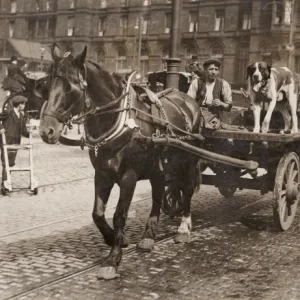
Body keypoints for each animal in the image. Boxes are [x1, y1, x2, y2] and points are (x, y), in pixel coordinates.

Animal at [37, 44, 202, 278]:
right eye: (47, 85)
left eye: (70, 87)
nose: (46, 131)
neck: (119, 121)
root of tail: (189, 101)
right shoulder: (102, 174)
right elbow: (97, 213)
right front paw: (116, 238)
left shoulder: (128, 177)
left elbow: (119, 215)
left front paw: (112, 260)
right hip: (157, 167)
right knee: (158, 195)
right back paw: (148, 236)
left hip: (189, 160)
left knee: (186, 189)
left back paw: (183, 228)